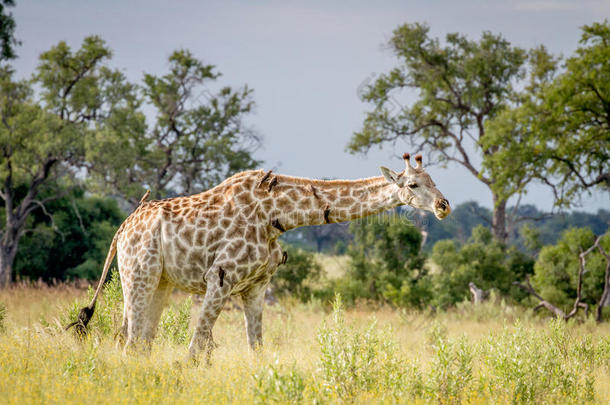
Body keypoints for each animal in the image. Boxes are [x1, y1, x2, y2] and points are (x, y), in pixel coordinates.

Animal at [69, 152, 448, 360]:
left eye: (433, 179)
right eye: (413, 185)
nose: (443, 205)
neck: (277, 216)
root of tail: (122, 229)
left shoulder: (256, 285)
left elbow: (257, 350)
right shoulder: (220, 278)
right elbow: (194, 349)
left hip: (160, 282)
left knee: (140, 342)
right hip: (138, 274)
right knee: (129, 341)